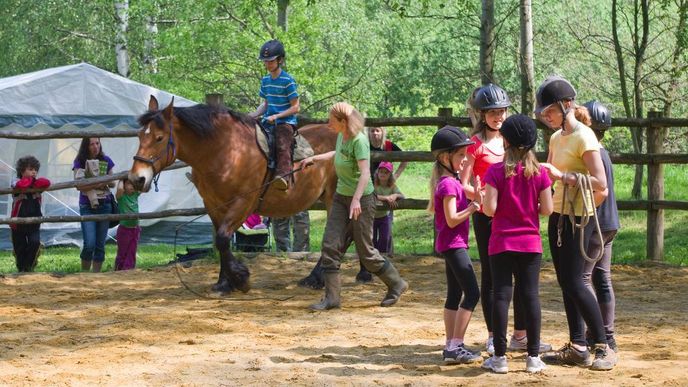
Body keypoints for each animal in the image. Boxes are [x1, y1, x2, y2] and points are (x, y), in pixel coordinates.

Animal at [130, 97, 338, 294]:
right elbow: (222, 241)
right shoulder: (213, 205)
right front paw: (224, 283)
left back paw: (316, 278)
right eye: (139, 136)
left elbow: (222, 239)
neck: (226, 151)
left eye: (159, 138)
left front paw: (240, 278)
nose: (137, 179)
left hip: (334, 197)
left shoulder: (244, 202)